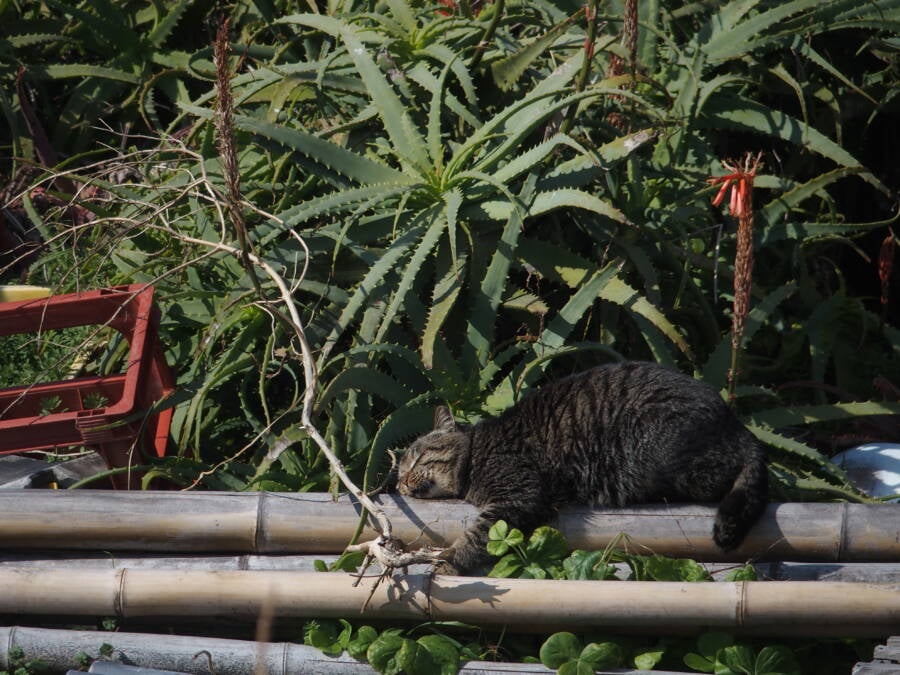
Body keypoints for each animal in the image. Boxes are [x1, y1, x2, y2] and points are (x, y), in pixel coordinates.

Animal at [398, 360, 768, 576]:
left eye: (416, 458)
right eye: (399, 475)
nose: (401, 482)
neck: (477, 453)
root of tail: (736, 423)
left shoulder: (518, 495)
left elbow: (479, 535)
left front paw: (449, 559)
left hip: (665, 457)